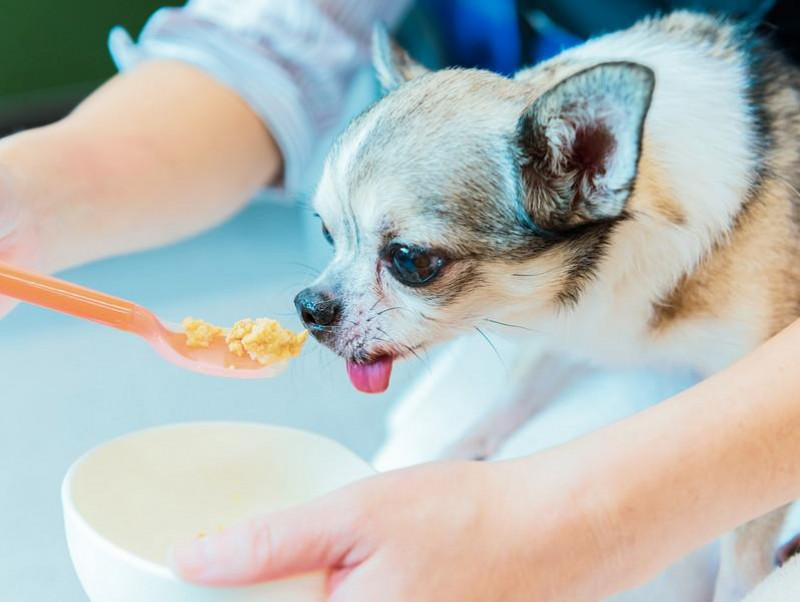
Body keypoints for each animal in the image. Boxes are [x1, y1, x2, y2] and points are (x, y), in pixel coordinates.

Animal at [294, 10, 800, 600]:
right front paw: (460, 449)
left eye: (410, 261)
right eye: (326, 233)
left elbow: (742, 553)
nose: (309, 307)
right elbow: (513, 395)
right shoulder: (567, 330)